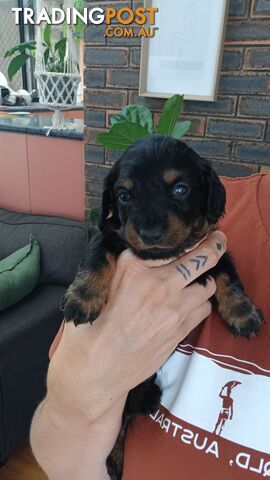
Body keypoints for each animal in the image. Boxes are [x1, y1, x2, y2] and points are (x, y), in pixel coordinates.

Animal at [62, 135, 262, 480]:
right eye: (124, 195)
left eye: (180, 189)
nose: (150, 234)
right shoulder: (110, 234)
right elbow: (97, 254)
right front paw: (82, 297)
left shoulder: (214, 250)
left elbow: (229, 274)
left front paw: (242, 313)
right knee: (119, 425)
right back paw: (116, 459)